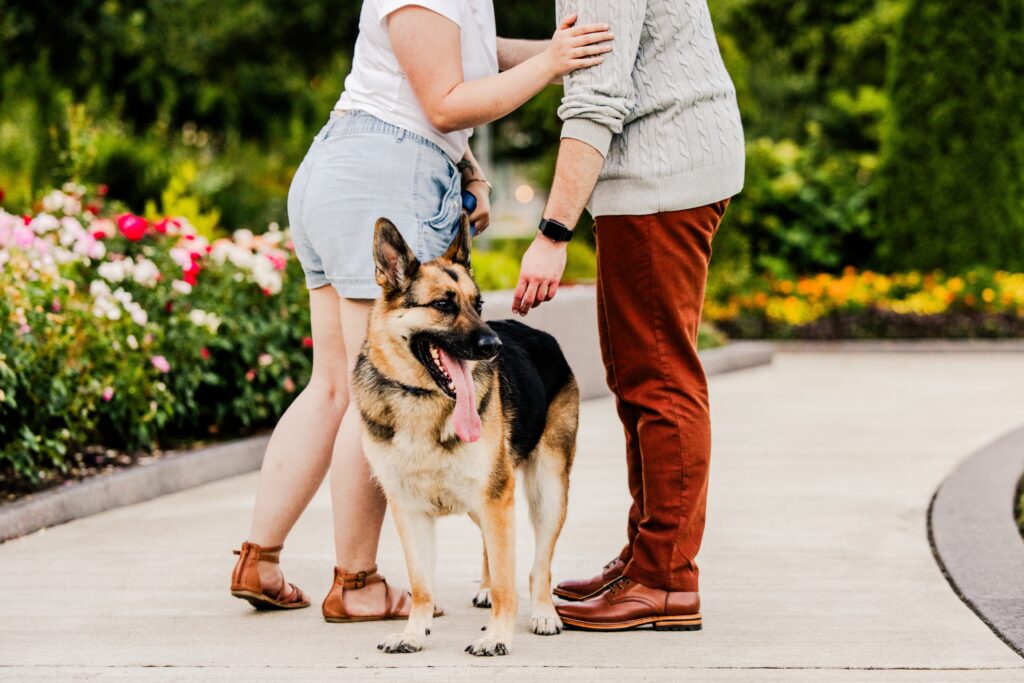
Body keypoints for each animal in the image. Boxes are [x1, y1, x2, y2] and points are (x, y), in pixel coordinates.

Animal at [352, 216, 577, 655]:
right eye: (443, 305)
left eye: (479, 304)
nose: (493, 345)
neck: (420, 398)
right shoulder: (410, 509)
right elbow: (422, 584)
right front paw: (413, 633)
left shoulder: (496, 497)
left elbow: (509, 579)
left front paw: (498, 636)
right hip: (484, 499)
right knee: (493, 548)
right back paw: (488, 589)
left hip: (546, 489)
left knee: (539, 564)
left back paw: (544, 611)